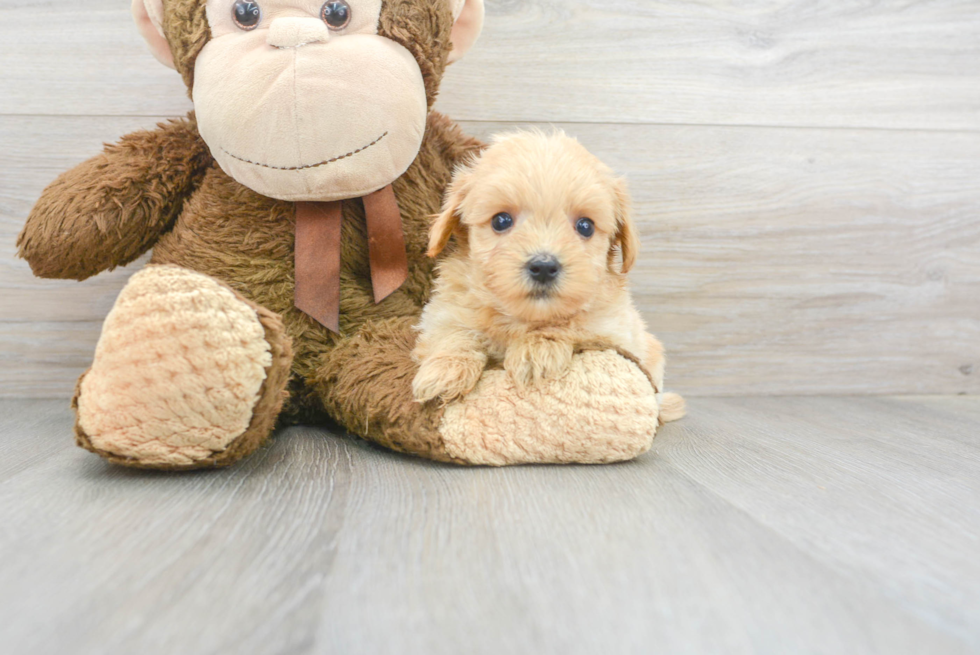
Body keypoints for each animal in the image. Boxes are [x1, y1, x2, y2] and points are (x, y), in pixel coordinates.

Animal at [412, 130, 680, 420]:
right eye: (500, 221)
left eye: (585, 226)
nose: (543, 267)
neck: (523, 318)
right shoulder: (445, 310)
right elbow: (454, 331)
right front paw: (446, 369)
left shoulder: (616, 333)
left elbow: (572, 326)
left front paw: (536, 350)